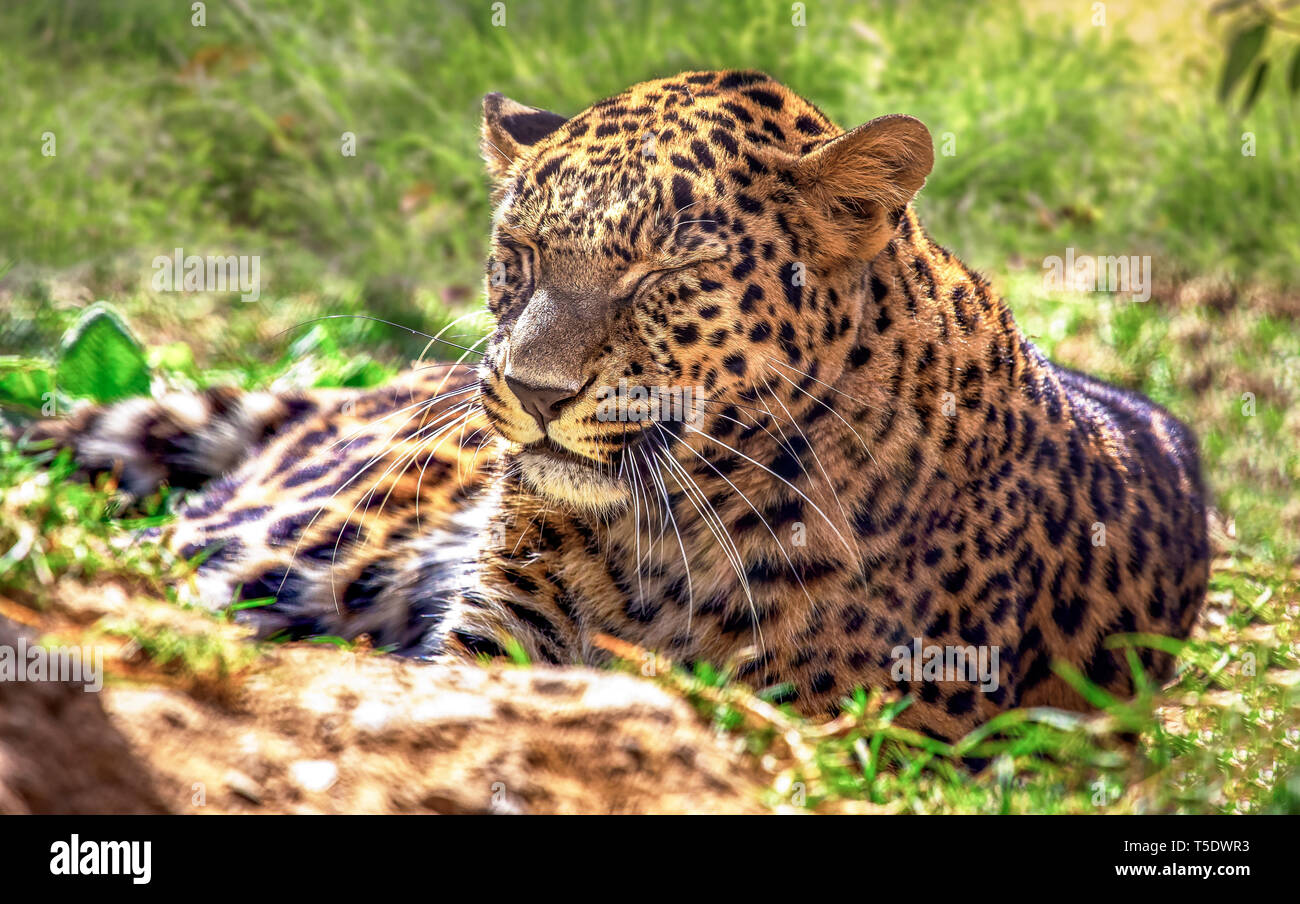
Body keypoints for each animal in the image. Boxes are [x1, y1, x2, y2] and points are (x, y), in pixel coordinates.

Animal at [19, 70, 1210, 744]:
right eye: (520, 250)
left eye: (664, 275)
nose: (533, 393)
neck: (666, 526)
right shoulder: (495, 641)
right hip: (306, 536)